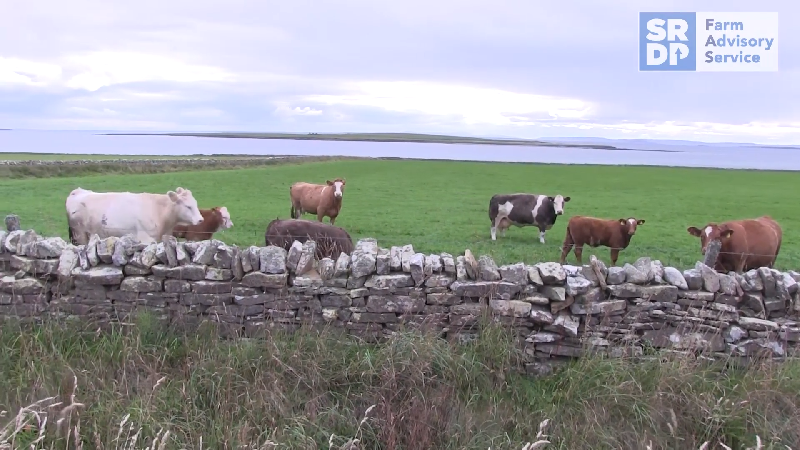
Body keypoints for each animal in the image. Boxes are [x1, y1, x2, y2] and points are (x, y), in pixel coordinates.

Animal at [66, 187, 205, 246]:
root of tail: (77, 191)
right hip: (80, 235)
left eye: (195, 203)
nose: (200, 220)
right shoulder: (146, 239)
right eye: (188, 206)